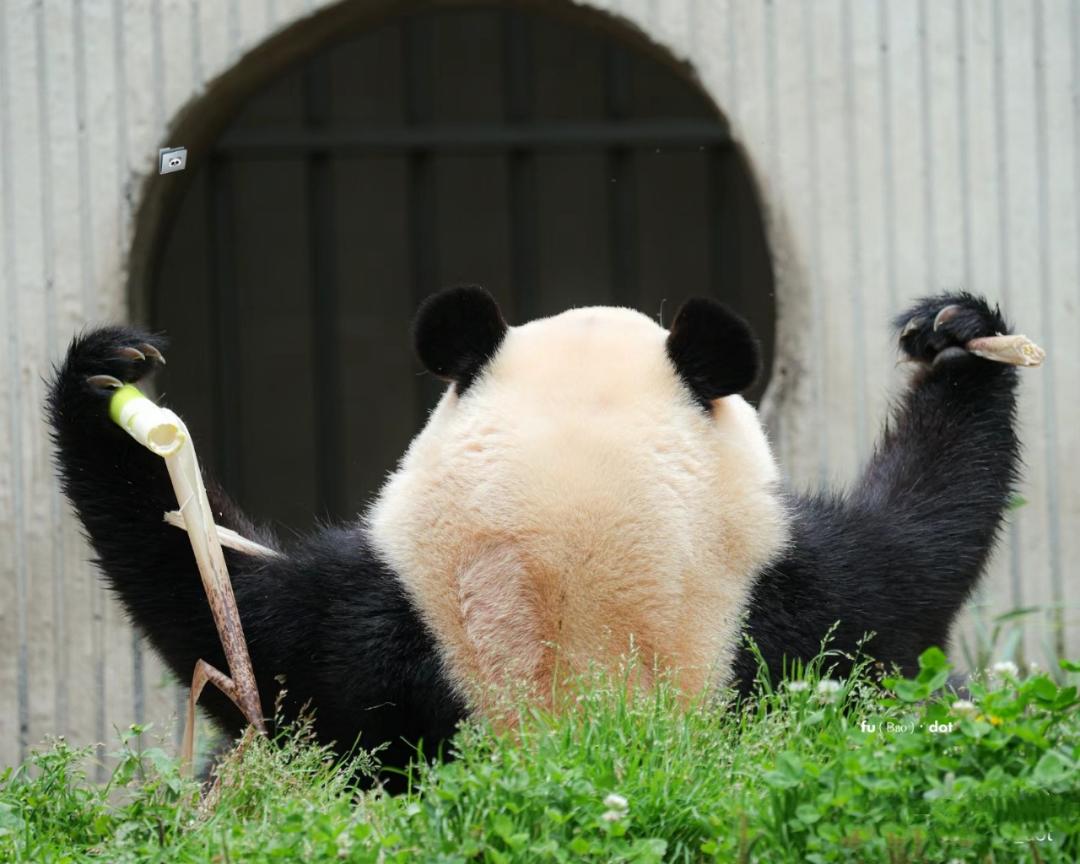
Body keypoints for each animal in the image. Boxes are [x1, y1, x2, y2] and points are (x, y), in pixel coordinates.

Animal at [44, 287, 1019, 786]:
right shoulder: (383, 622)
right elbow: (232, 631)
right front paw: (108, 380)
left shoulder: (789, 603)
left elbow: (911, 563)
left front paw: (956, 334)